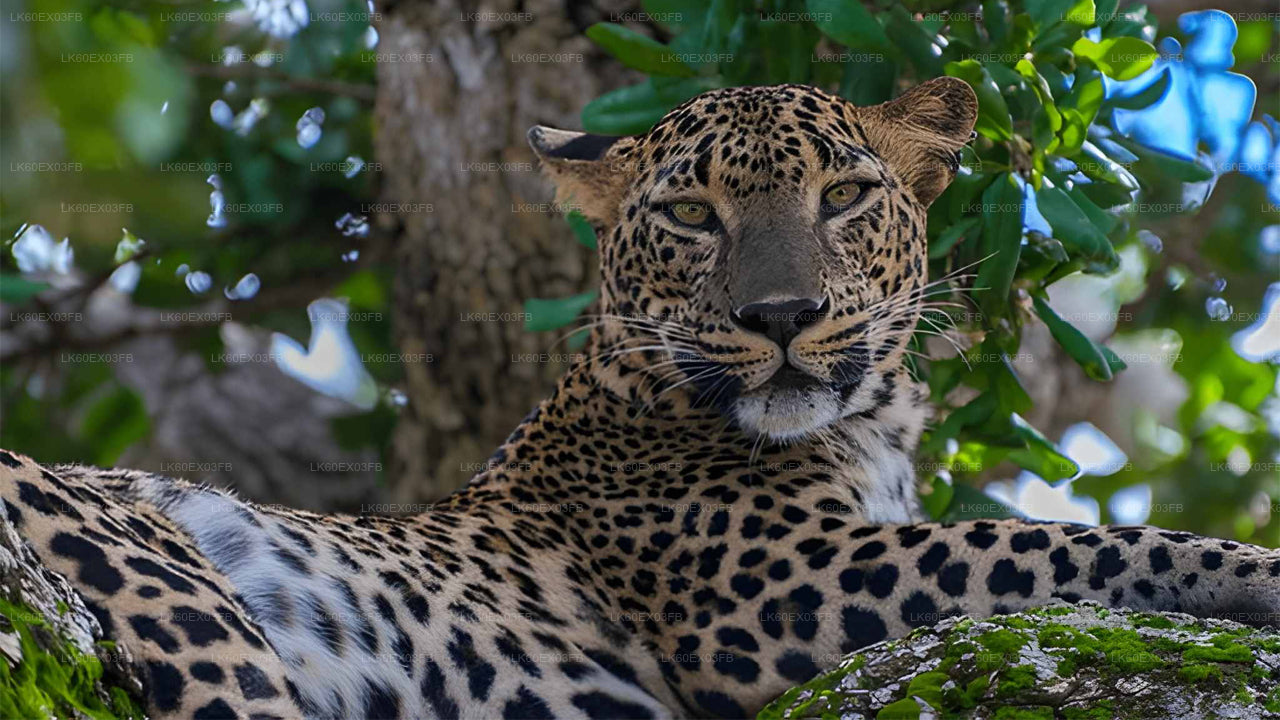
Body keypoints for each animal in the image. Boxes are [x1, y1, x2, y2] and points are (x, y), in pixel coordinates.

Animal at [3, 79, 1279, 720]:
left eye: (844, 196)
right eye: (689, 215)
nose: (780, 317)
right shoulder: (772, 592)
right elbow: (1056, 545)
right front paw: (1250, 571)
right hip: (189, 604)